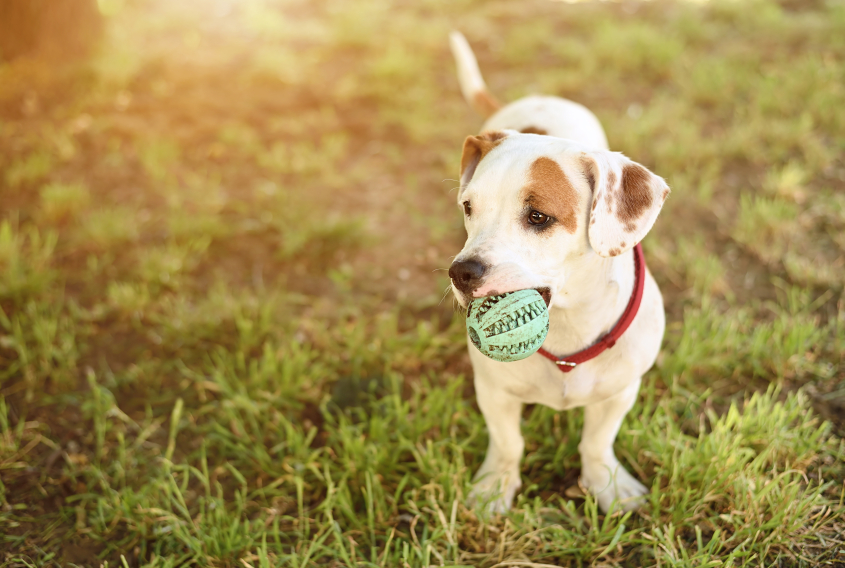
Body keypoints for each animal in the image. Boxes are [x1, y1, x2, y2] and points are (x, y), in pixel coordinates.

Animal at [448, 31, 664, 516]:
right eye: (469, 208)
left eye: (539, 217)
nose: (461, 272)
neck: (568, 322)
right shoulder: (494, 392)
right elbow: (508, 443)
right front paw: (495, 487)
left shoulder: (620, 392)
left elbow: (597, 443)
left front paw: (606, 485)